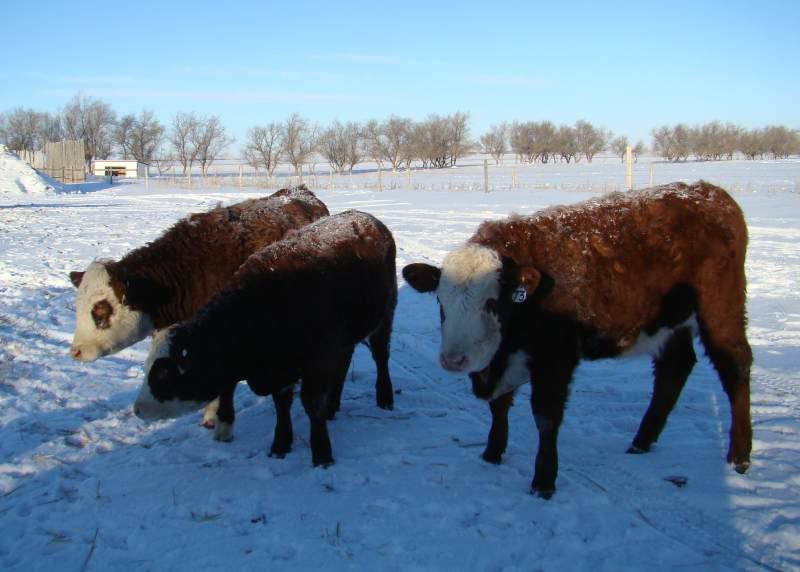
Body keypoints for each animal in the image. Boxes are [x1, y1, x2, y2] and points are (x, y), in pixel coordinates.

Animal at [133, 210, 397, 465]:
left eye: (164, 374)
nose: (137, 409)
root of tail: (370, 219)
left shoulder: (317, 361)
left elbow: (312, 404)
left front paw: (322, 454)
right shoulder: (282, 367)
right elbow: (281, 404)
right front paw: (280, 445)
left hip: (384, 317)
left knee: (381, 356)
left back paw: (385, 397)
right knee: (344, 363)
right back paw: (334, 406)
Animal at [402, 181, 752, 497]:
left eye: (491, 303)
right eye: (440, 302)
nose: (453, 360)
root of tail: (711, 192)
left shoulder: (556, 359)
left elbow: (545, 417)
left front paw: (543, 481)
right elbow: (499, 407)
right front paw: (491, 453)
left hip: (721, 311)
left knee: (735, 366)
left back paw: (740, 455)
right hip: (670, 323)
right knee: (674, 368)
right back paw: (641, 441)